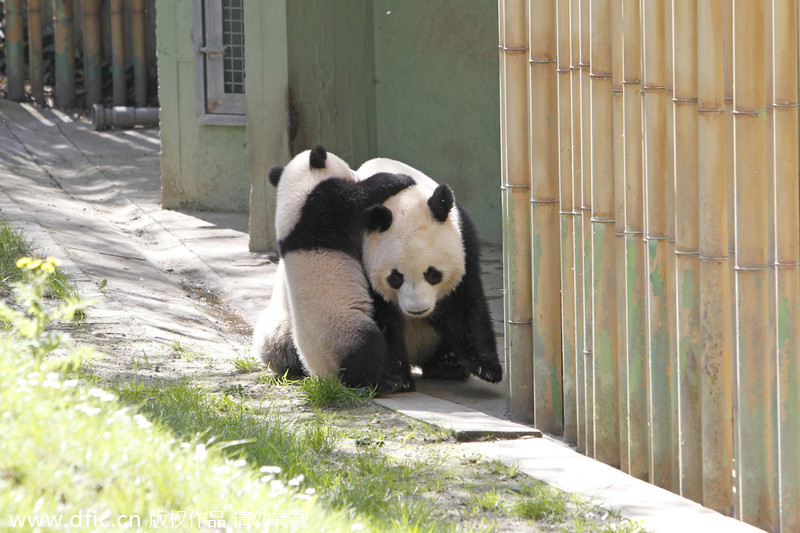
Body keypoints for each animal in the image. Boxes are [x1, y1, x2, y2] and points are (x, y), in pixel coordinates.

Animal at [253, 145, 416, 390]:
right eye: (349, 168)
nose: (356, 172)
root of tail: (324, 377)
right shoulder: (323, 207)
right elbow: (358, 197)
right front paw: (399, 178)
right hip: (344, 332)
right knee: (366, 349)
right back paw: (380, 383)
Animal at [356, 156, 500, 388]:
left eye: (433, 274)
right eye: (396, 278)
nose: (418, 310)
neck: (403, 200)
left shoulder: (463, 240)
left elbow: (465, 302)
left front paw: (486, 368)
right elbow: (378, 316)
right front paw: (394, 378)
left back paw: (447, 365)